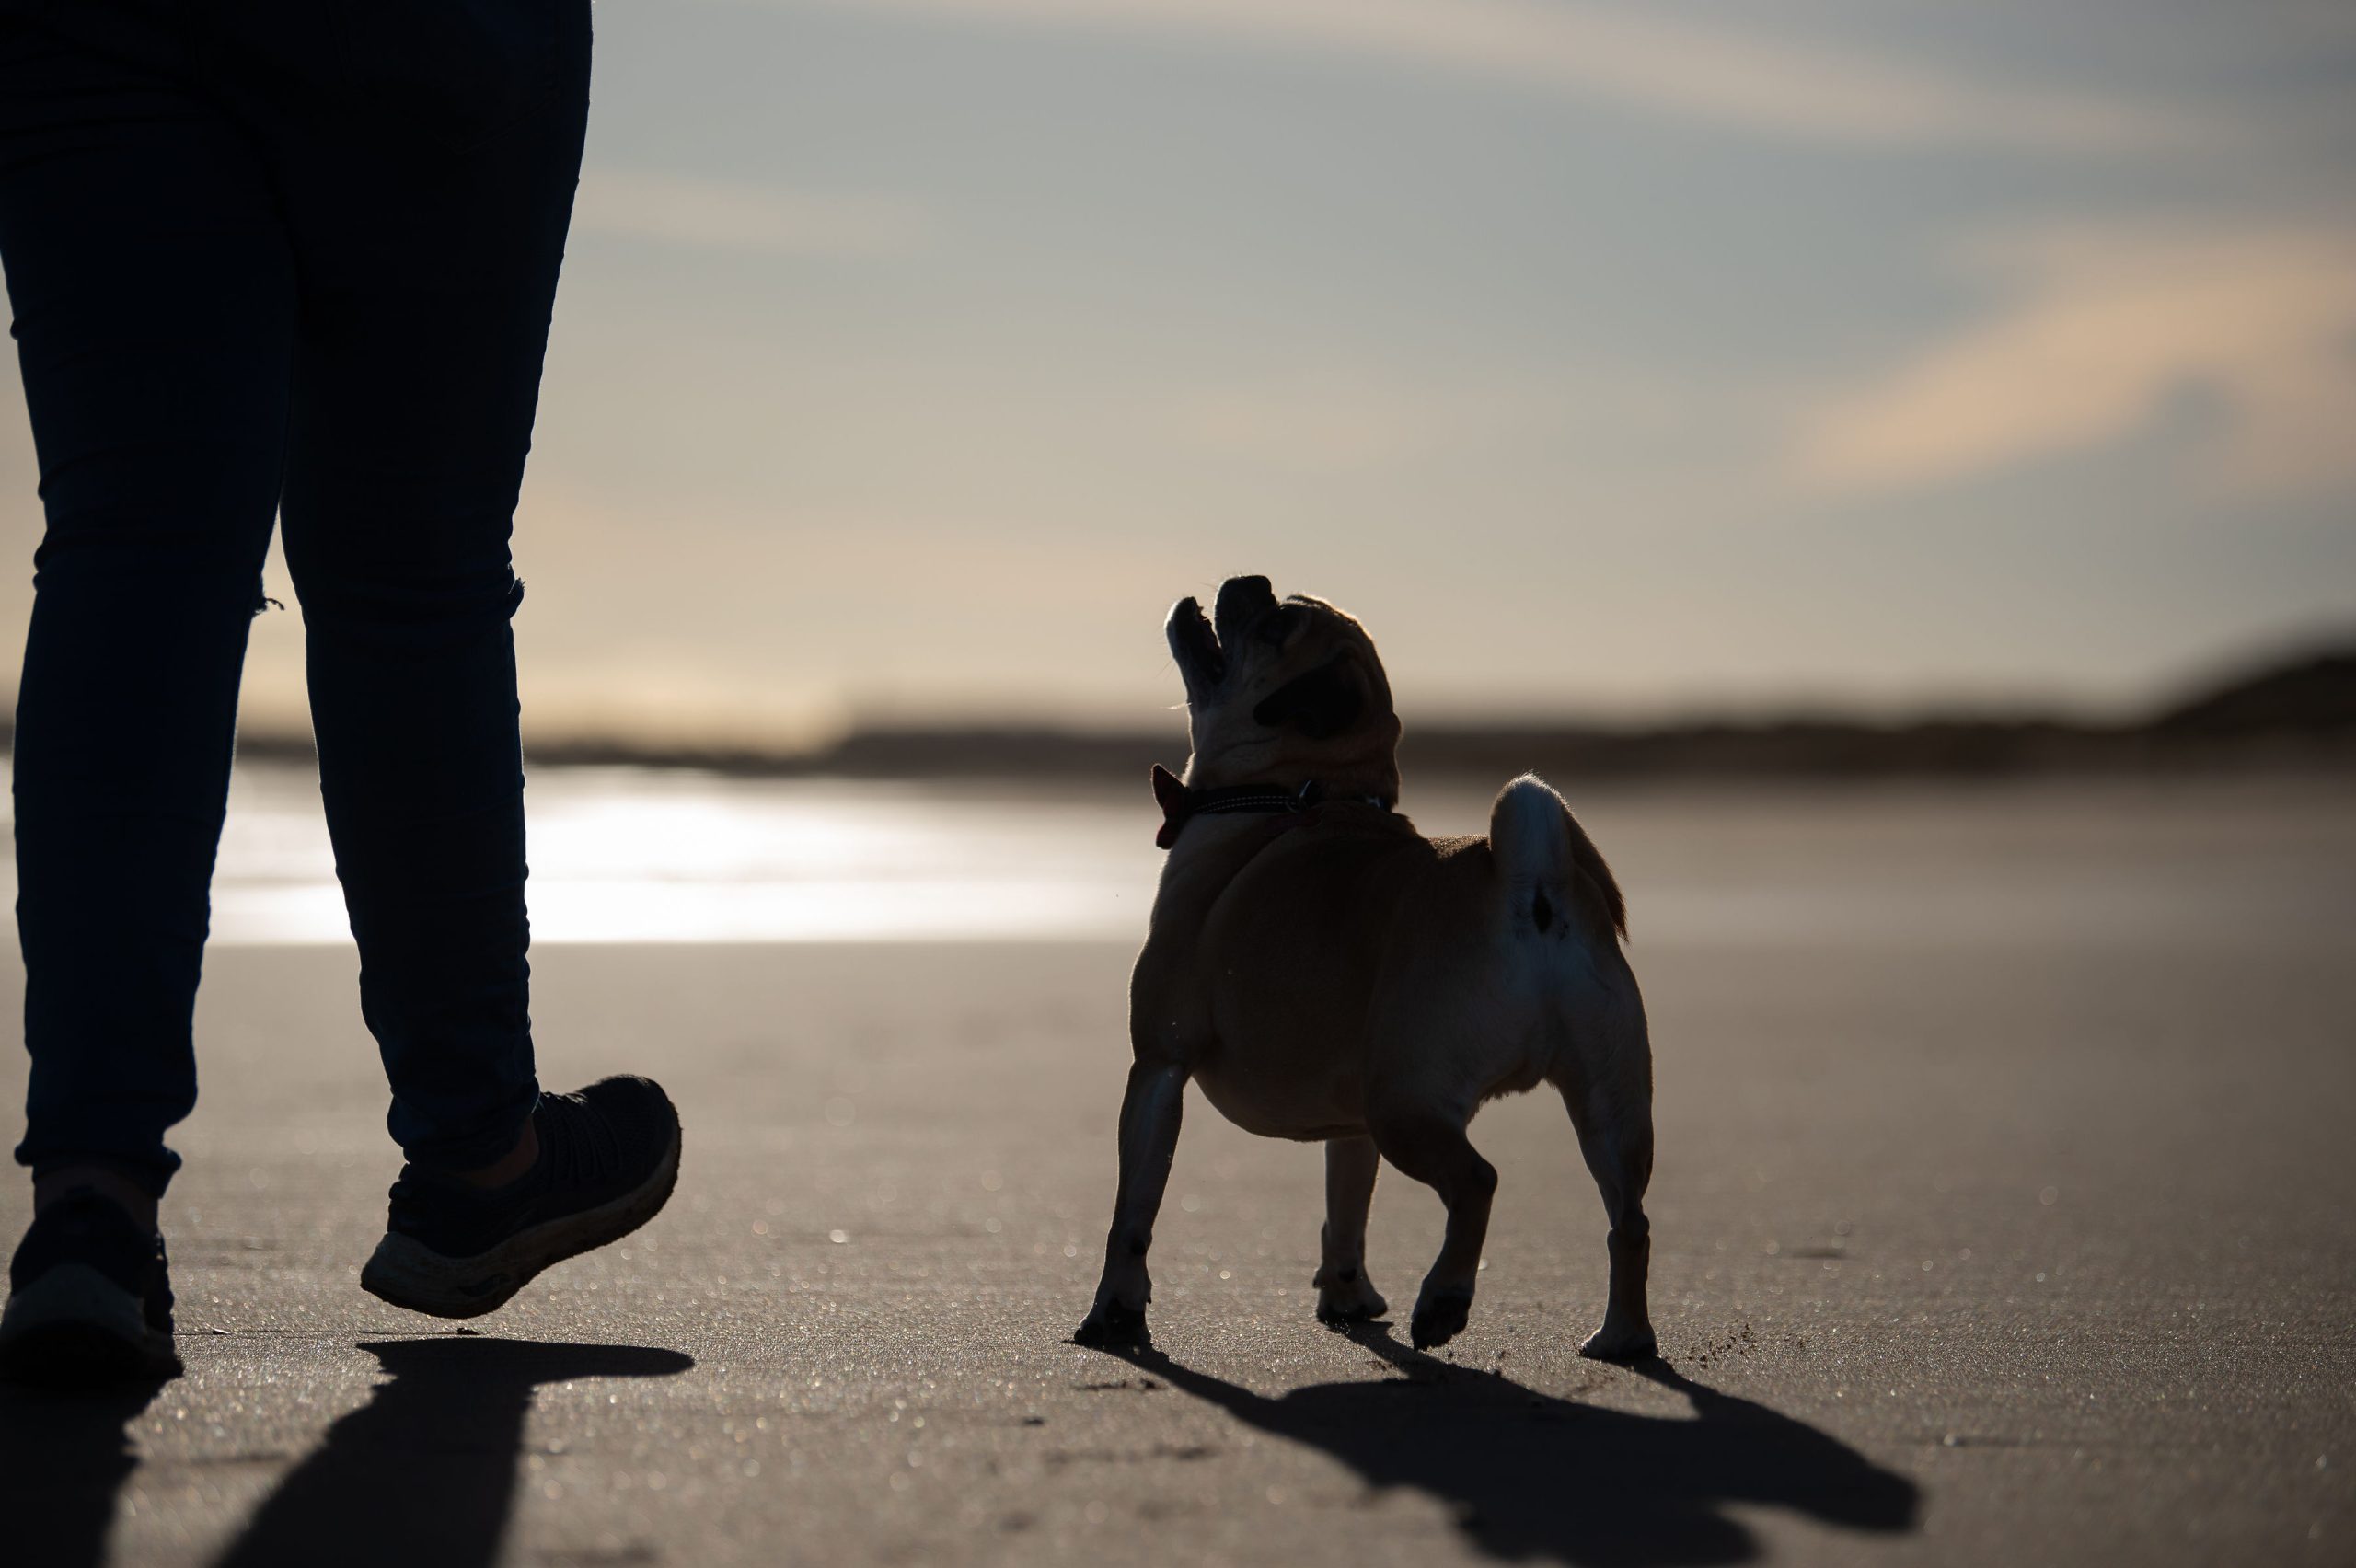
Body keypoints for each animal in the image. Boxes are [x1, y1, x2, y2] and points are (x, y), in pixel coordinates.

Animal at [1074, 574, 1658, 1355]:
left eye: (1274, 625)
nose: (1250, 581)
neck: (1300, 790)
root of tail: (1527, 883)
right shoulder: (1349, 1123)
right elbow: (1346, 1207)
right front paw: (1347, 1298)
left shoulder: (1158, 1066)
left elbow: (1132, 1215)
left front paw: (1113, 1312)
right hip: (1608, 1104)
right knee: (1630, 1220)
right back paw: (1623, 1336)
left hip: (1405, 1102)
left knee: (1478, 1182)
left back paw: (1444, 1300)